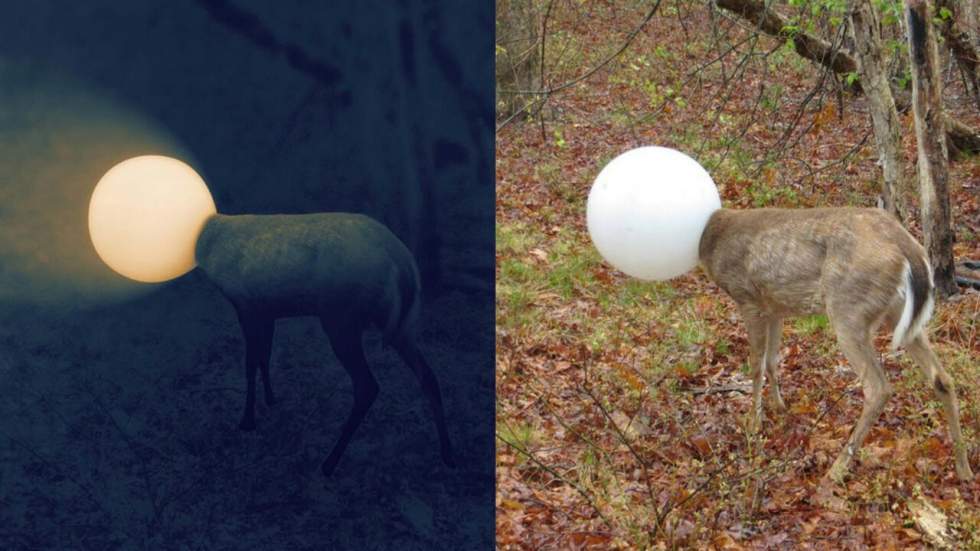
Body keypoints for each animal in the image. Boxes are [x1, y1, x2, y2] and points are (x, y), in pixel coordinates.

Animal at [194, 212, 456, 478]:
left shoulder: (245, 304)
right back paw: (447, 453)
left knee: (368, 385)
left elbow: (250, 364)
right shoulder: (265, 310)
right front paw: (270, 400)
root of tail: (405, 264)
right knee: (428, 376)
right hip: (400, 326)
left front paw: (247, 420)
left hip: (341, 315)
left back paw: (329, 462)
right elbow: (264, 357)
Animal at [696, 207, 972, 484]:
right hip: (897, 314)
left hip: (848, 310)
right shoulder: (774, 307)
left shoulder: (747, 298)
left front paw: (753, 424)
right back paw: (964, 468)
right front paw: (779, 407)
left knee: (878, 388)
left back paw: (836, 470)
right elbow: (772, 360)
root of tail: (909, 248)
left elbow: (756, 365)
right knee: (942, 378)